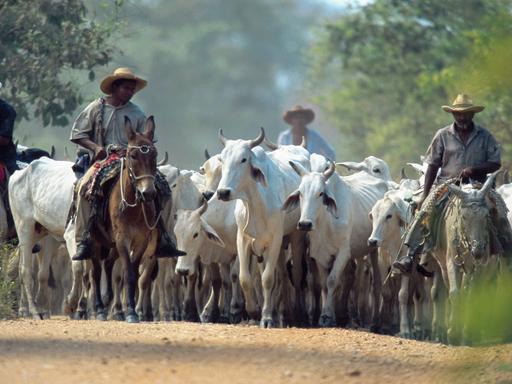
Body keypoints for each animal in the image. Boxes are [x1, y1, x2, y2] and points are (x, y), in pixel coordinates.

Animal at [89, 115, 159, 322]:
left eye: (154, 155)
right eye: (133, 156)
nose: (148, 193)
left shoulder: (141, 241)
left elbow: (133, 274)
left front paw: (131, 310)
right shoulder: (122, 239)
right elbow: (127, 273)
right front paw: (131, 313)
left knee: (108, 264)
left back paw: (111, 303)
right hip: (96, 241)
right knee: (96, 272)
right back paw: (100, 309)